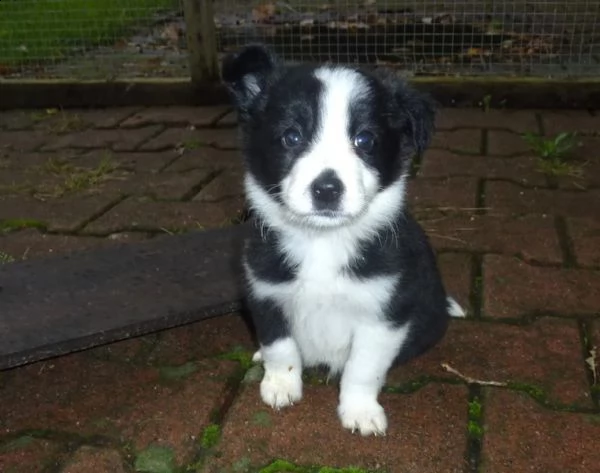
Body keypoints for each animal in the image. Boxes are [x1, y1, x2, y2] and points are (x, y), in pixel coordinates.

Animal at [223, 45, 462, 436]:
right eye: (292, 137)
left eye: (364, 140)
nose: (327, 190)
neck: (323, 241)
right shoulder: (265, 292)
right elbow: (280, 346)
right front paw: (281, 385)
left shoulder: (383, 314)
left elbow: (363, 368)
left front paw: (360, 411)